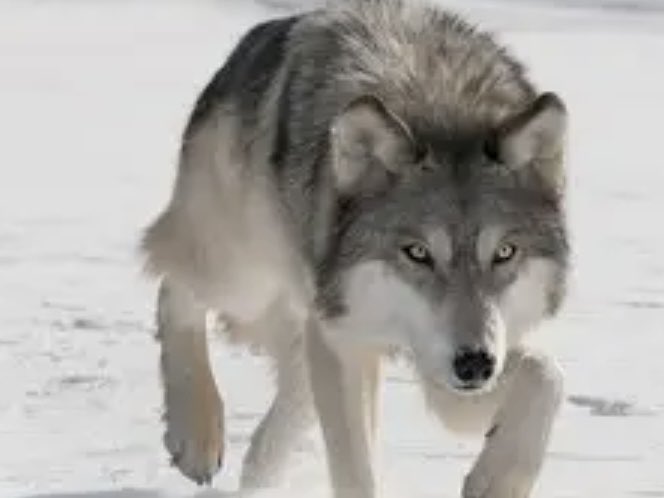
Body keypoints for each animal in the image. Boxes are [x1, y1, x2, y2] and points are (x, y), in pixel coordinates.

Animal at [141, 0, 569, 497]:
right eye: (417, 253)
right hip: (241, 276)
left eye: (504, 253)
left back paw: (264, 463)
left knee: (297, 378)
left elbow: (546, 374)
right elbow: (354, 467)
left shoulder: (450, 363)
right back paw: (196, 436)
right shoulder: (348, 339)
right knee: (173, 287)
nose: (475, 364)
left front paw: (498, 479)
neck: (440, 107)